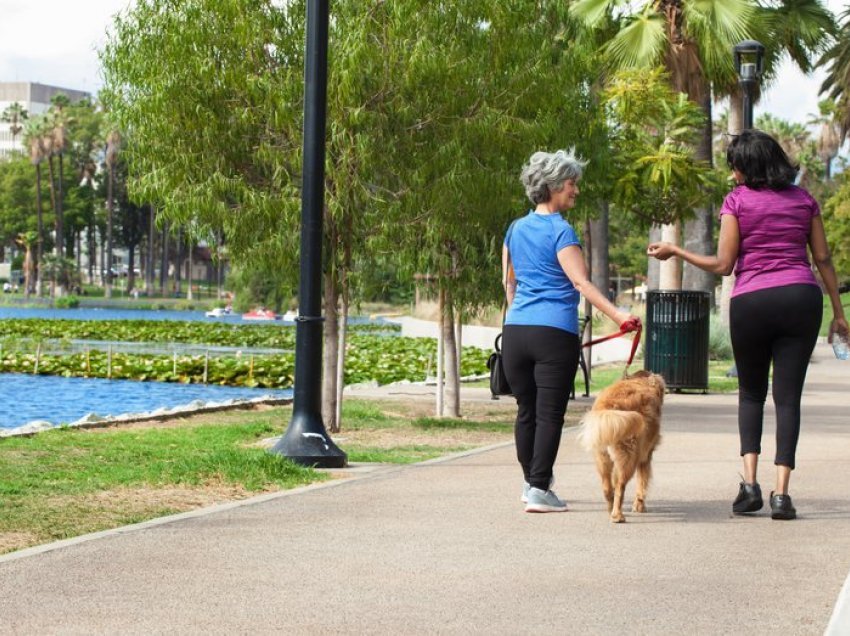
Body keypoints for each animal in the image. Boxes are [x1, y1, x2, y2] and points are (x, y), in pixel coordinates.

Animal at [576, 370, 664, 524]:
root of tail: (609, 406)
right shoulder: (646, 456)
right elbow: (642, 483)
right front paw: (639, 506)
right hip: (628, 457)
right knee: (620, 487)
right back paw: (617, 516)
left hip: (602, 457)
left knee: (607, 487)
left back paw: (610, 510)